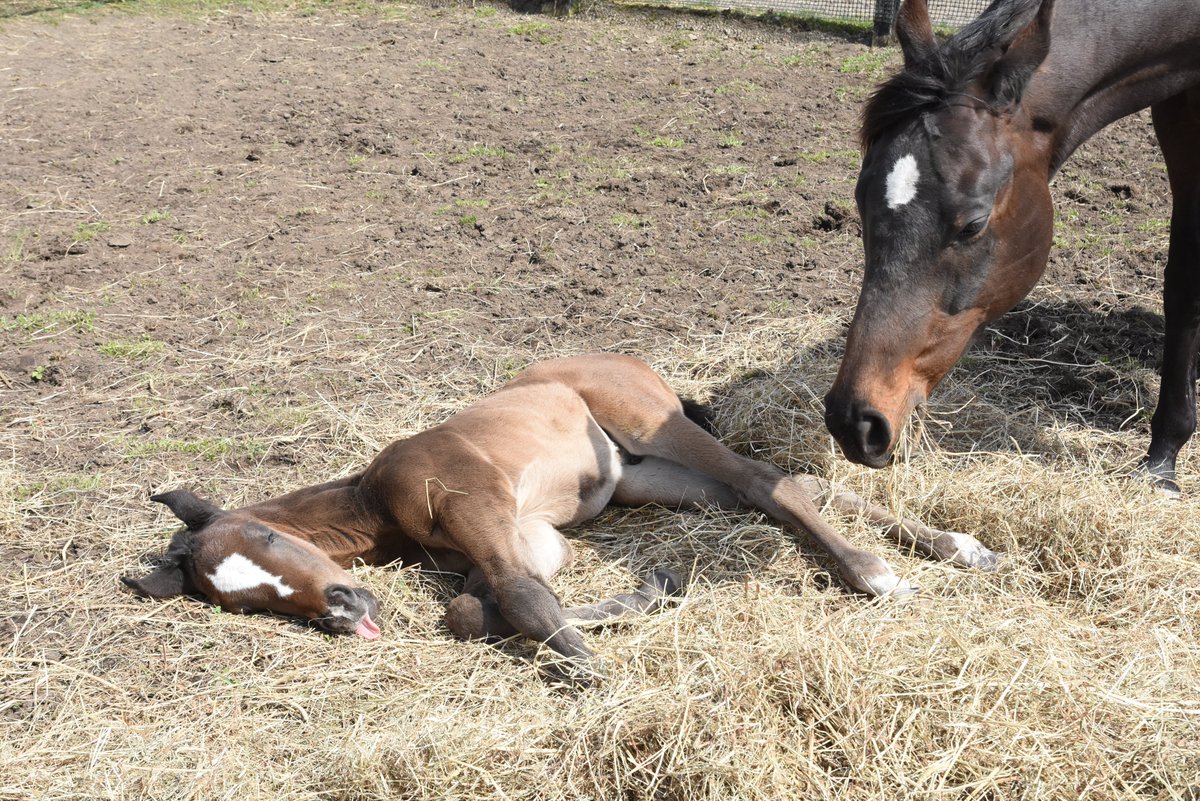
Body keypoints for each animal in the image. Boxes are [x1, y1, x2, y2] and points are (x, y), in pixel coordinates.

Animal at [124, 354, 998, 677]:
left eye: (267, 536)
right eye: (245, 602)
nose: (344, 607)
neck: (379, 498)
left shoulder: (487, 519)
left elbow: (519, 600)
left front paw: (601, 678)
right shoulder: (510, 543)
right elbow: (480, 608)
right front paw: (653, 590)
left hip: (654, 425)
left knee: (768, 480)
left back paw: (877, 574)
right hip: (648, 480)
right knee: (792, 486)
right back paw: (955, 545)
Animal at [822, 0, 1200, 493]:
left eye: (973, 225)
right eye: (860, 202)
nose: (855, 421)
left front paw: (1163, 459)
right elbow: (1182, 285)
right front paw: (1163, 456)